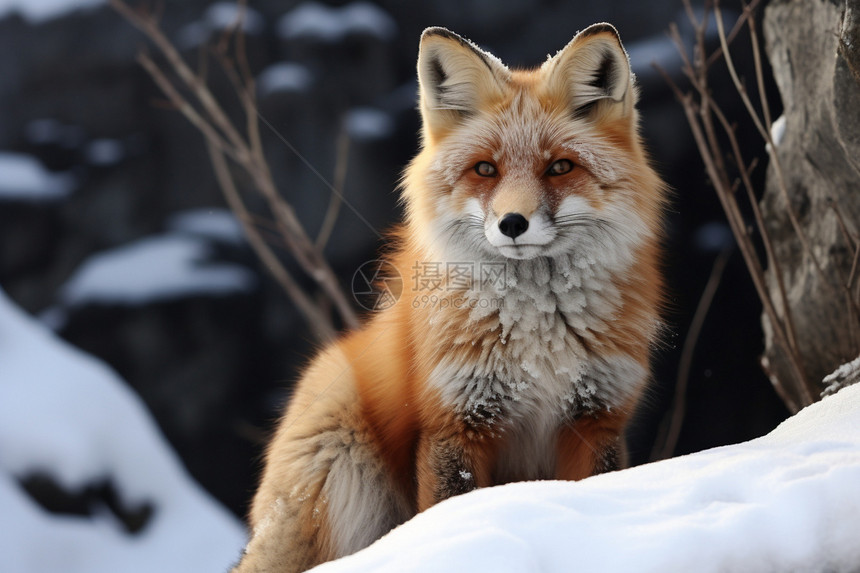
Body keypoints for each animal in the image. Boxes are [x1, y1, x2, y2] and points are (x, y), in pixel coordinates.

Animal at [233, 23, 664, 572]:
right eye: (485, 170)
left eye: (560, 167)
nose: (513, 223)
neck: (538, 338)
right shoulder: (455, 422)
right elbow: (450, 510)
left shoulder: (596, 417)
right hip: (341, 463)